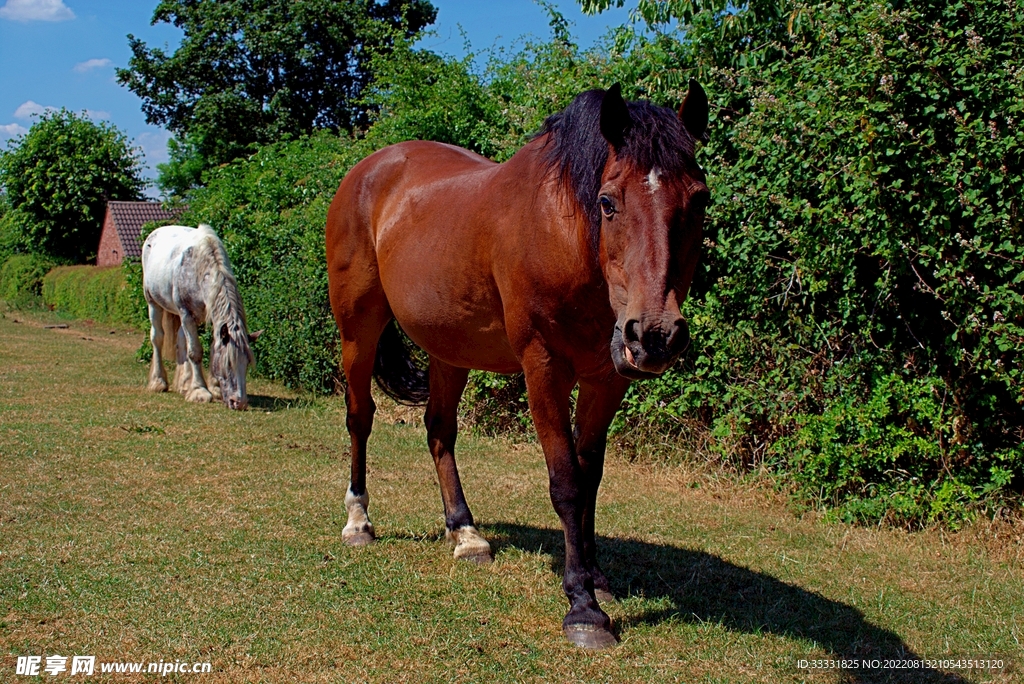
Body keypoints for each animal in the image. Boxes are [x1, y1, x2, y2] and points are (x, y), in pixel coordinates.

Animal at [142, 224, 258, 411]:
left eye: (246, 363)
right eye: (228, 364)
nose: (239, 403)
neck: (200, 268)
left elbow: (210, 348)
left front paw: (214, 388)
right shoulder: (186, 314)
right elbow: (195, 351)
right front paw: (199, 391)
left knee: (181, 340)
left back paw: (184, 384)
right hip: (153, 303)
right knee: (157, 338)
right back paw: (159, 382)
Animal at [325, 82, 709, 648]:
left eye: (699, 199)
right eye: (607, 202)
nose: (656, 336)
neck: (567, 236)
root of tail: (367, 170)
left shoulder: (606, 379)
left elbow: (590, 479)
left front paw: (596, 577)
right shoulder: (543, 368)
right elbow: (566, 484)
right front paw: (583, 607)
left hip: (449, 349)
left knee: (439, 431)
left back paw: (465, 534)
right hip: (359, 330)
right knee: (360, 418)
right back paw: (358, 521)